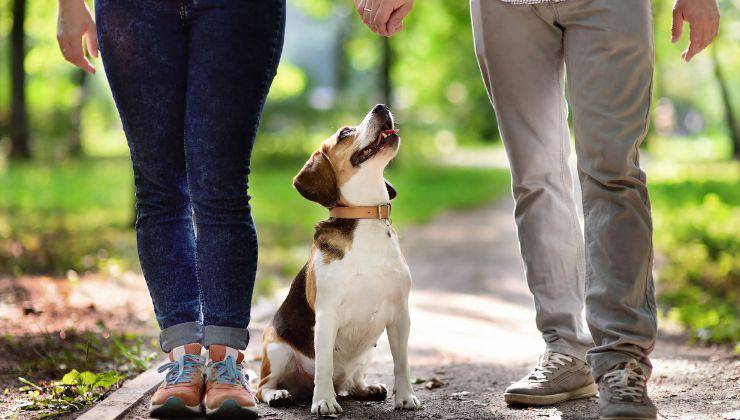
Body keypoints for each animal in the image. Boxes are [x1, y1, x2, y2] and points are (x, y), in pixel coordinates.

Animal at [254, 103, 420, 416]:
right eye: (345, 132)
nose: (381, 106)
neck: (365, 216)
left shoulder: (400, 315)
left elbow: (402, 362)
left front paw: (405, 397)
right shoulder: (326, 315)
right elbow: (323, 365)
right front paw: (323, 401)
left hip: (366, 354)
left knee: (351, 381)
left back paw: (365, 388)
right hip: (276, 349)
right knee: (261, 386)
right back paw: (279, 394)